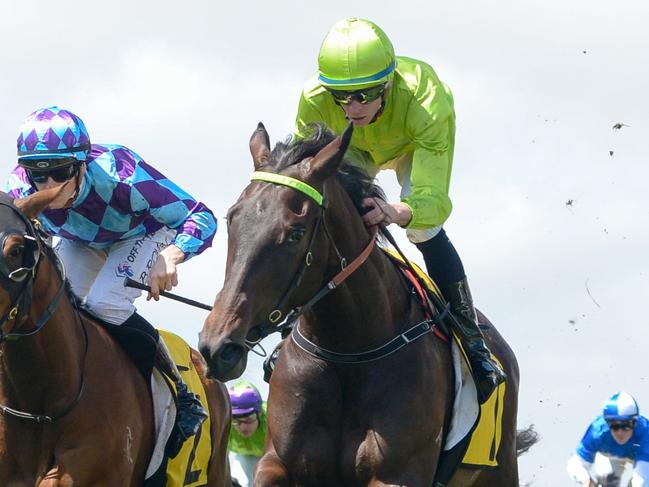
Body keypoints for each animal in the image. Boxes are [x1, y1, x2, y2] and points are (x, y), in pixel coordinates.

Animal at [201, 123, 528, 487]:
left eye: (295, 233)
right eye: (231, 219)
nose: (219, 347)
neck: (346, 352)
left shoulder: (397, 473)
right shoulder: (277, 462)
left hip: (500, 469)